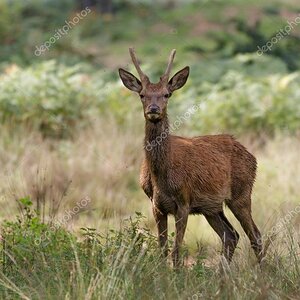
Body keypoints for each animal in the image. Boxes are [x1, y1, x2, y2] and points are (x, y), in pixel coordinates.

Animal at [118, 47, 262, 268]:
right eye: (142, 95)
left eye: (167, 94)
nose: (153, 110)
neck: (162, 177)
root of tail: (252, 156)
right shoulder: (156, 205)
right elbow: (162, 250)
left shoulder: (183, 201)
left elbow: (176, 252)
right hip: (211, 207)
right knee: (231, 235)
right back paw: (222, 274)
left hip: (241, 193)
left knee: (255, 235)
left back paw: (264, 271)